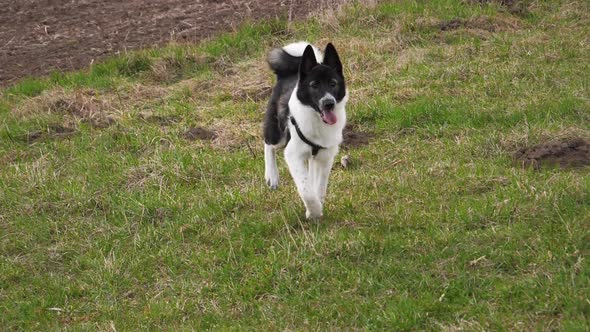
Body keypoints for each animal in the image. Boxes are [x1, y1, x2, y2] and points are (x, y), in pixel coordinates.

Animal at [262, 41, 346, 219]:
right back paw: (272, 176)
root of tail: (288, 73)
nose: (329, 103)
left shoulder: (325, 157)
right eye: (314, 85)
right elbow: (306, 190)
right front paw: (314, 211)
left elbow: (319, 186)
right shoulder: (293, 154)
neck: (316, 118)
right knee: (268, 143)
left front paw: (316, 207)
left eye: (333, 83)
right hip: (278, 133)